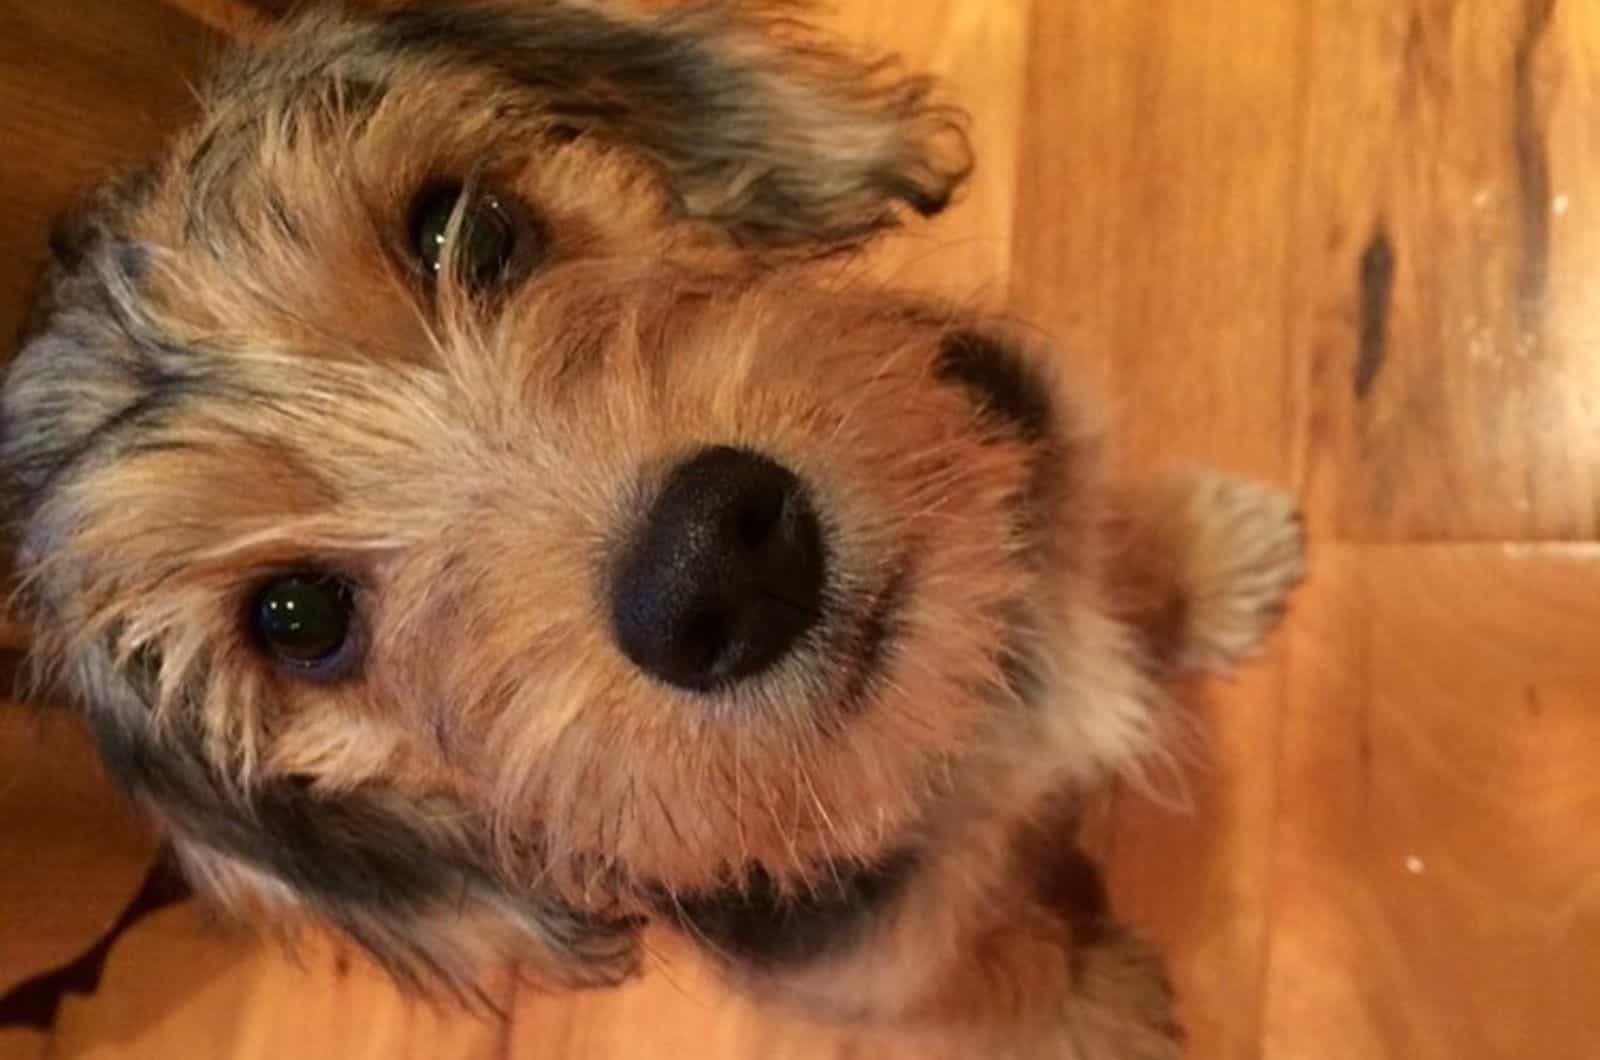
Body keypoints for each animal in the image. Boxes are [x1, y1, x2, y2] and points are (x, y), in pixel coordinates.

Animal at [0, 4, 1305, 1056]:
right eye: (296, 618)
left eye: (466, 231)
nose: (710, 564)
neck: (964, 704)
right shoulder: (877, 968)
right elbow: (992, 983)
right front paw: (1097, 1016)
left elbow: (1107, 540)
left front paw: (1206, 558)